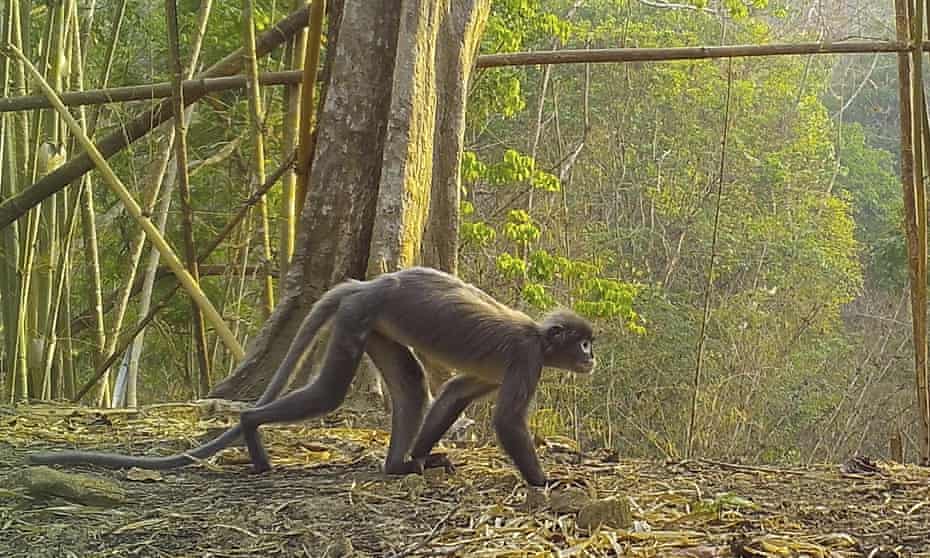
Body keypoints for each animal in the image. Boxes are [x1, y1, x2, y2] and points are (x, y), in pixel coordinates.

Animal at [29, 267, 597, 486]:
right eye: (584, 342)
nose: (591, 358)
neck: (540, 337)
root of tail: (369, 283)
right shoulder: (527, 357)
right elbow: (506, 422)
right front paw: (548, 483)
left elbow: (456, 391)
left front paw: (422, 457)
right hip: (360, 316)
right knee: (328, 393)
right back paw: (251, 427)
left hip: (371, 323)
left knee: (411, 384)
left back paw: (398, 466)